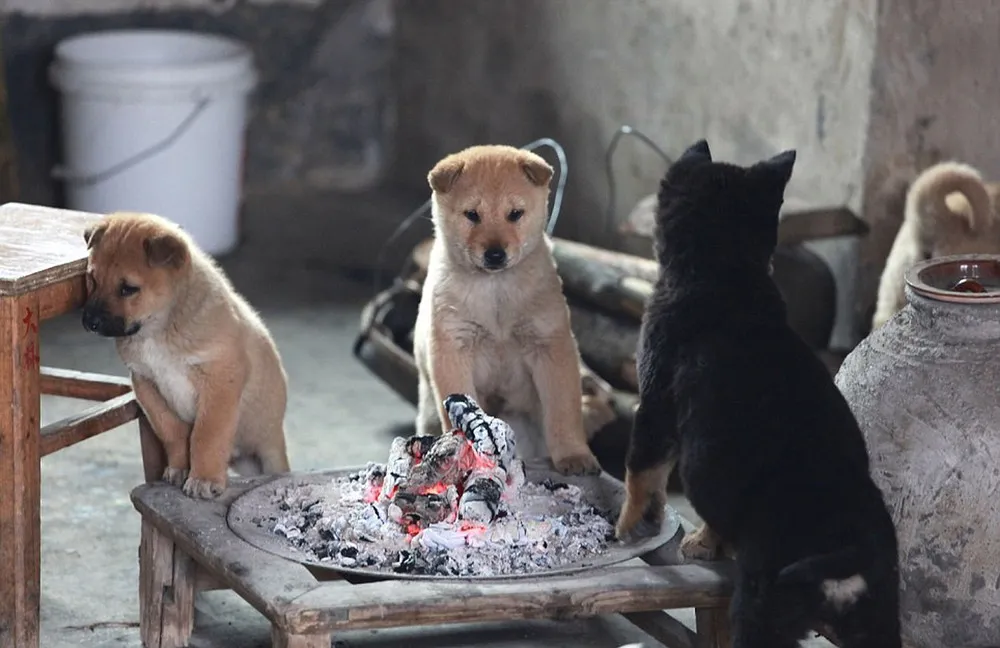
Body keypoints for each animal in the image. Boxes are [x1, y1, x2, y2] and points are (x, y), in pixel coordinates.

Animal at [414, 144, 600, 474]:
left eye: (515, 214)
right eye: (472, 215)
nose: (495, 254)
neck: (496, 291)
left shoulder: (550, 345)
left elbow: (563, 410)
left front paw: (573, 455)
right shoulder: (452, 346)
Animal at [620, 140, 904, 648]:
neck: (722, 275)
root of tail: (852, 550)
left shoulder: (654, 403)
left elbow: (641, 473)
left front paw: (630, 527)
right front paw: (703, 542)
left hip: (762, 603)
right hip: (878, 620)